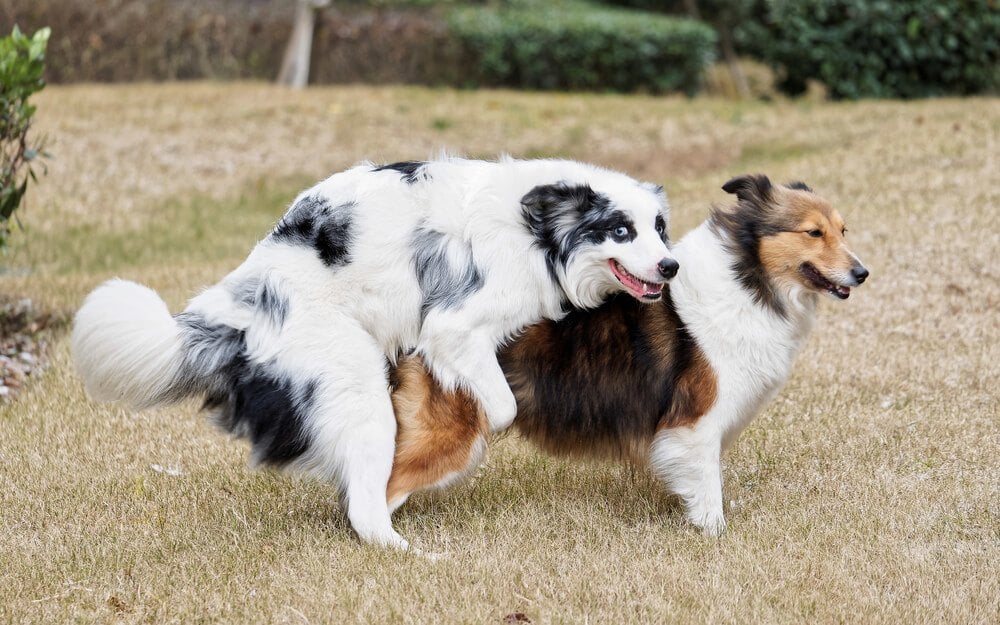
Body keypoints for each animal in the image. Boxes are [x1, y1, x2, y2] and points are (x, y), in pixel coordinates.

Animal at [72, 158, 680, 548]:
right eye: (619, 230)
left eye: (658, 228)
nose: (670, 266)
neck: (538, 230)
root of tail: (239, 303)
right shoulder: (454, 325)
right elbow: (501, 406)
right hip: (355, 383)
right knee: (364, 510)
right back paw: (409, 548)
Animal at [382, 176, 868, 536]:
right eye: (813, 232)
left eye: (843, 230)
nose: (862, 272)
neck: (748, 279)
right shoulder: (696, 423)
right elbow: (707, 486)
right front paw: (715, 534)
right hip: (451, 434)